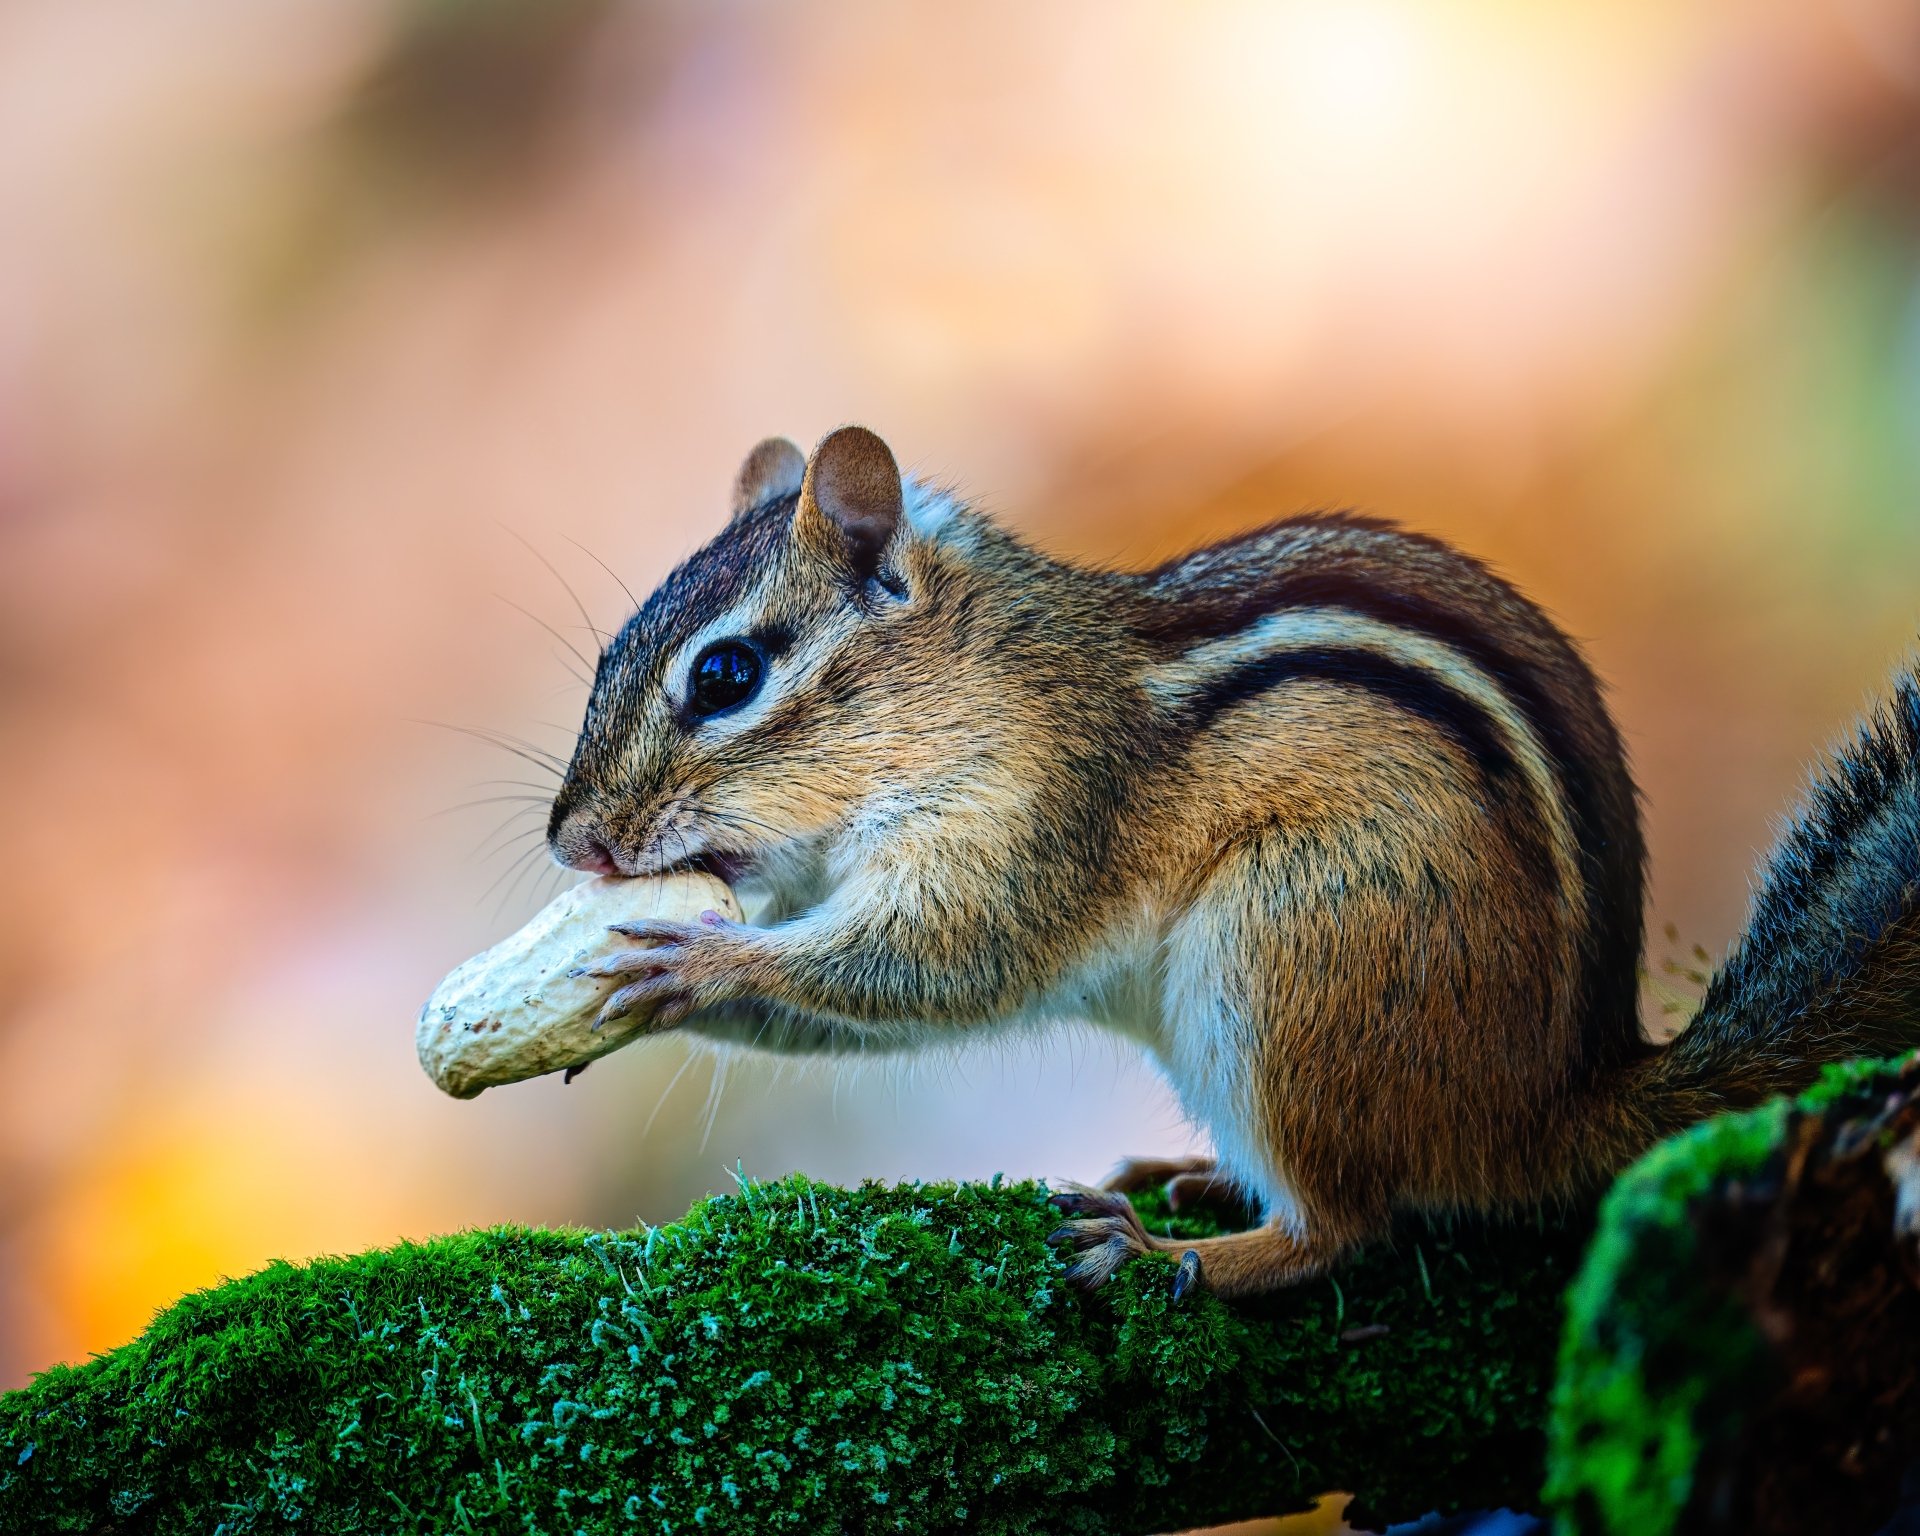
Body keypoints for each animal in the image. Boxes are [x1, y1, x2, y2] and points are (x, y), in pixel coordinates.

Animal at [545, 425, 1920, 1299]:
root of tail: (1564, 1100)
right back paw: (1196, 1181)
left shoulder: (1036, 825)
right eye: (609, 654)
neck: (987, 682)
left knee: (1345, 1229)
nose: (575, 840)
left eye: (728, 675)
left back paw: (1183, 1257)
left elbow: (939, 965)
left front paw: (700, 965)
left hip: (1281, 958)